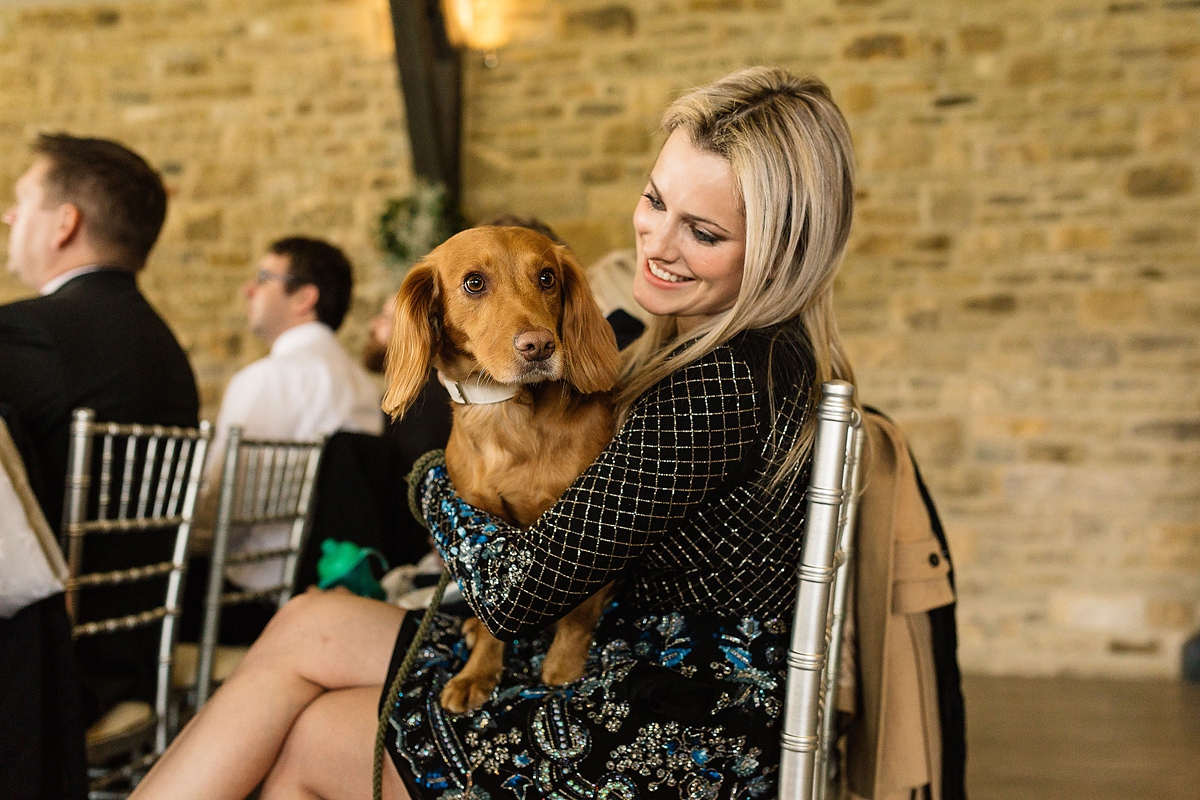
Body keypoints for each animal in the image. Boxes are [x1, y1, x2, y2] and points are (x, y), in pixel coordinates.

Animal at [381, 225, 628, 714]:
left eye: (547, 277)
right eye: (474, 283)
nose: (540, 345)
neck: (506, 412)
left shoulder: (590, 537)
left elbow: (579, 614)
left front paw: (563, 667)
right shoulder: (478, 532)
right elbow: (491, 620)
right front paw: (478, 672)